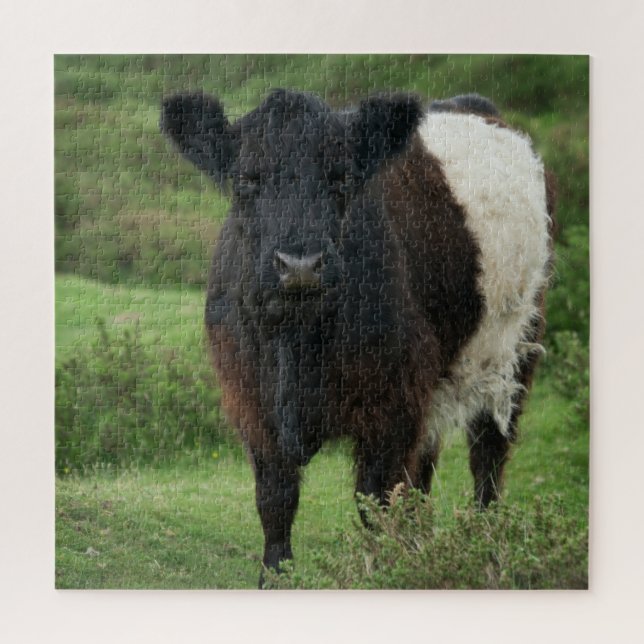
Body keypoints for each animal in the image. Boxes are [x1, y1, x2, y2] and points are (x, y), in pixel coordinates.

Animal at [160, 89, 553, 586]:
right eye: (246, 180)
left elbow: (376, 503)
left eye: (342, 177)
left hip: (514, 352)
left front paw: (384, 573)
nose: (300, 264)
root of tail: (472, 104)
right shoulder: (252, 403)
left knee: (488, 457)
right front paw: (275, 578)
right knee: (425, 470)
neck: (298, 340)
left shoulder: (391, 407)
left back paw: (487, 552)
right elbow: (275, 501)